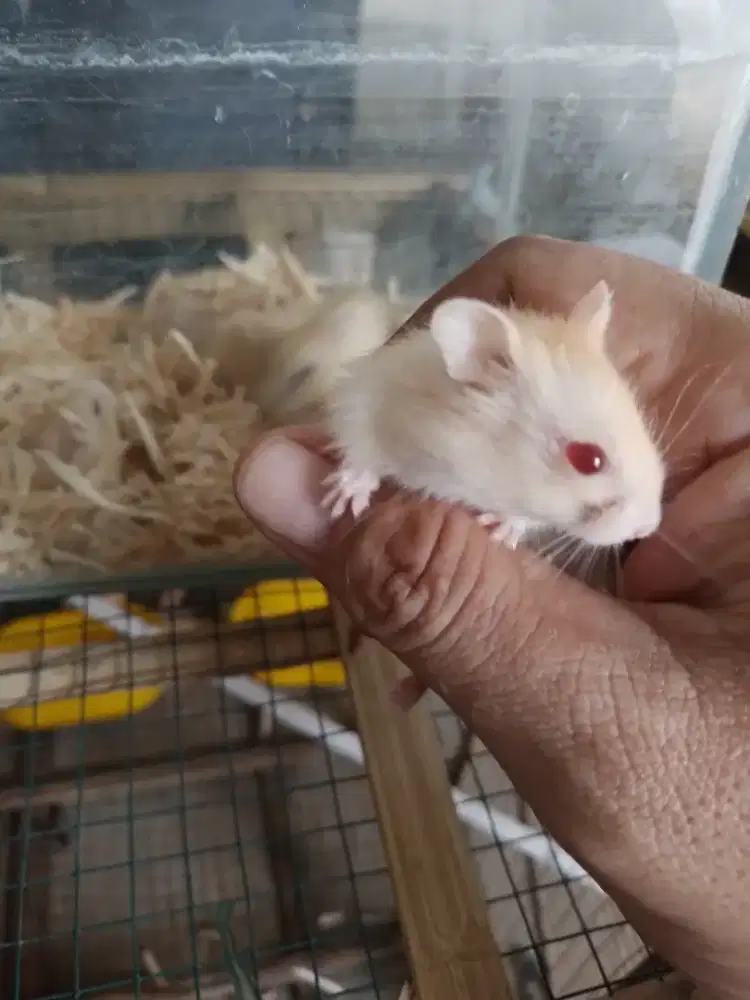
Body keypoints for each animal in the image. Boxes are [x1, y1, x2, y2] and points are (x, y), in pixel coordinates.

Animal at [322, 280, 665, 553]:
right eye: (588, 459)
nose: (649, 528)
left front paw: (502, 533)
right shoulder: (367, 393)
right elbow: (360, 447)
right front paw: (341, 503)